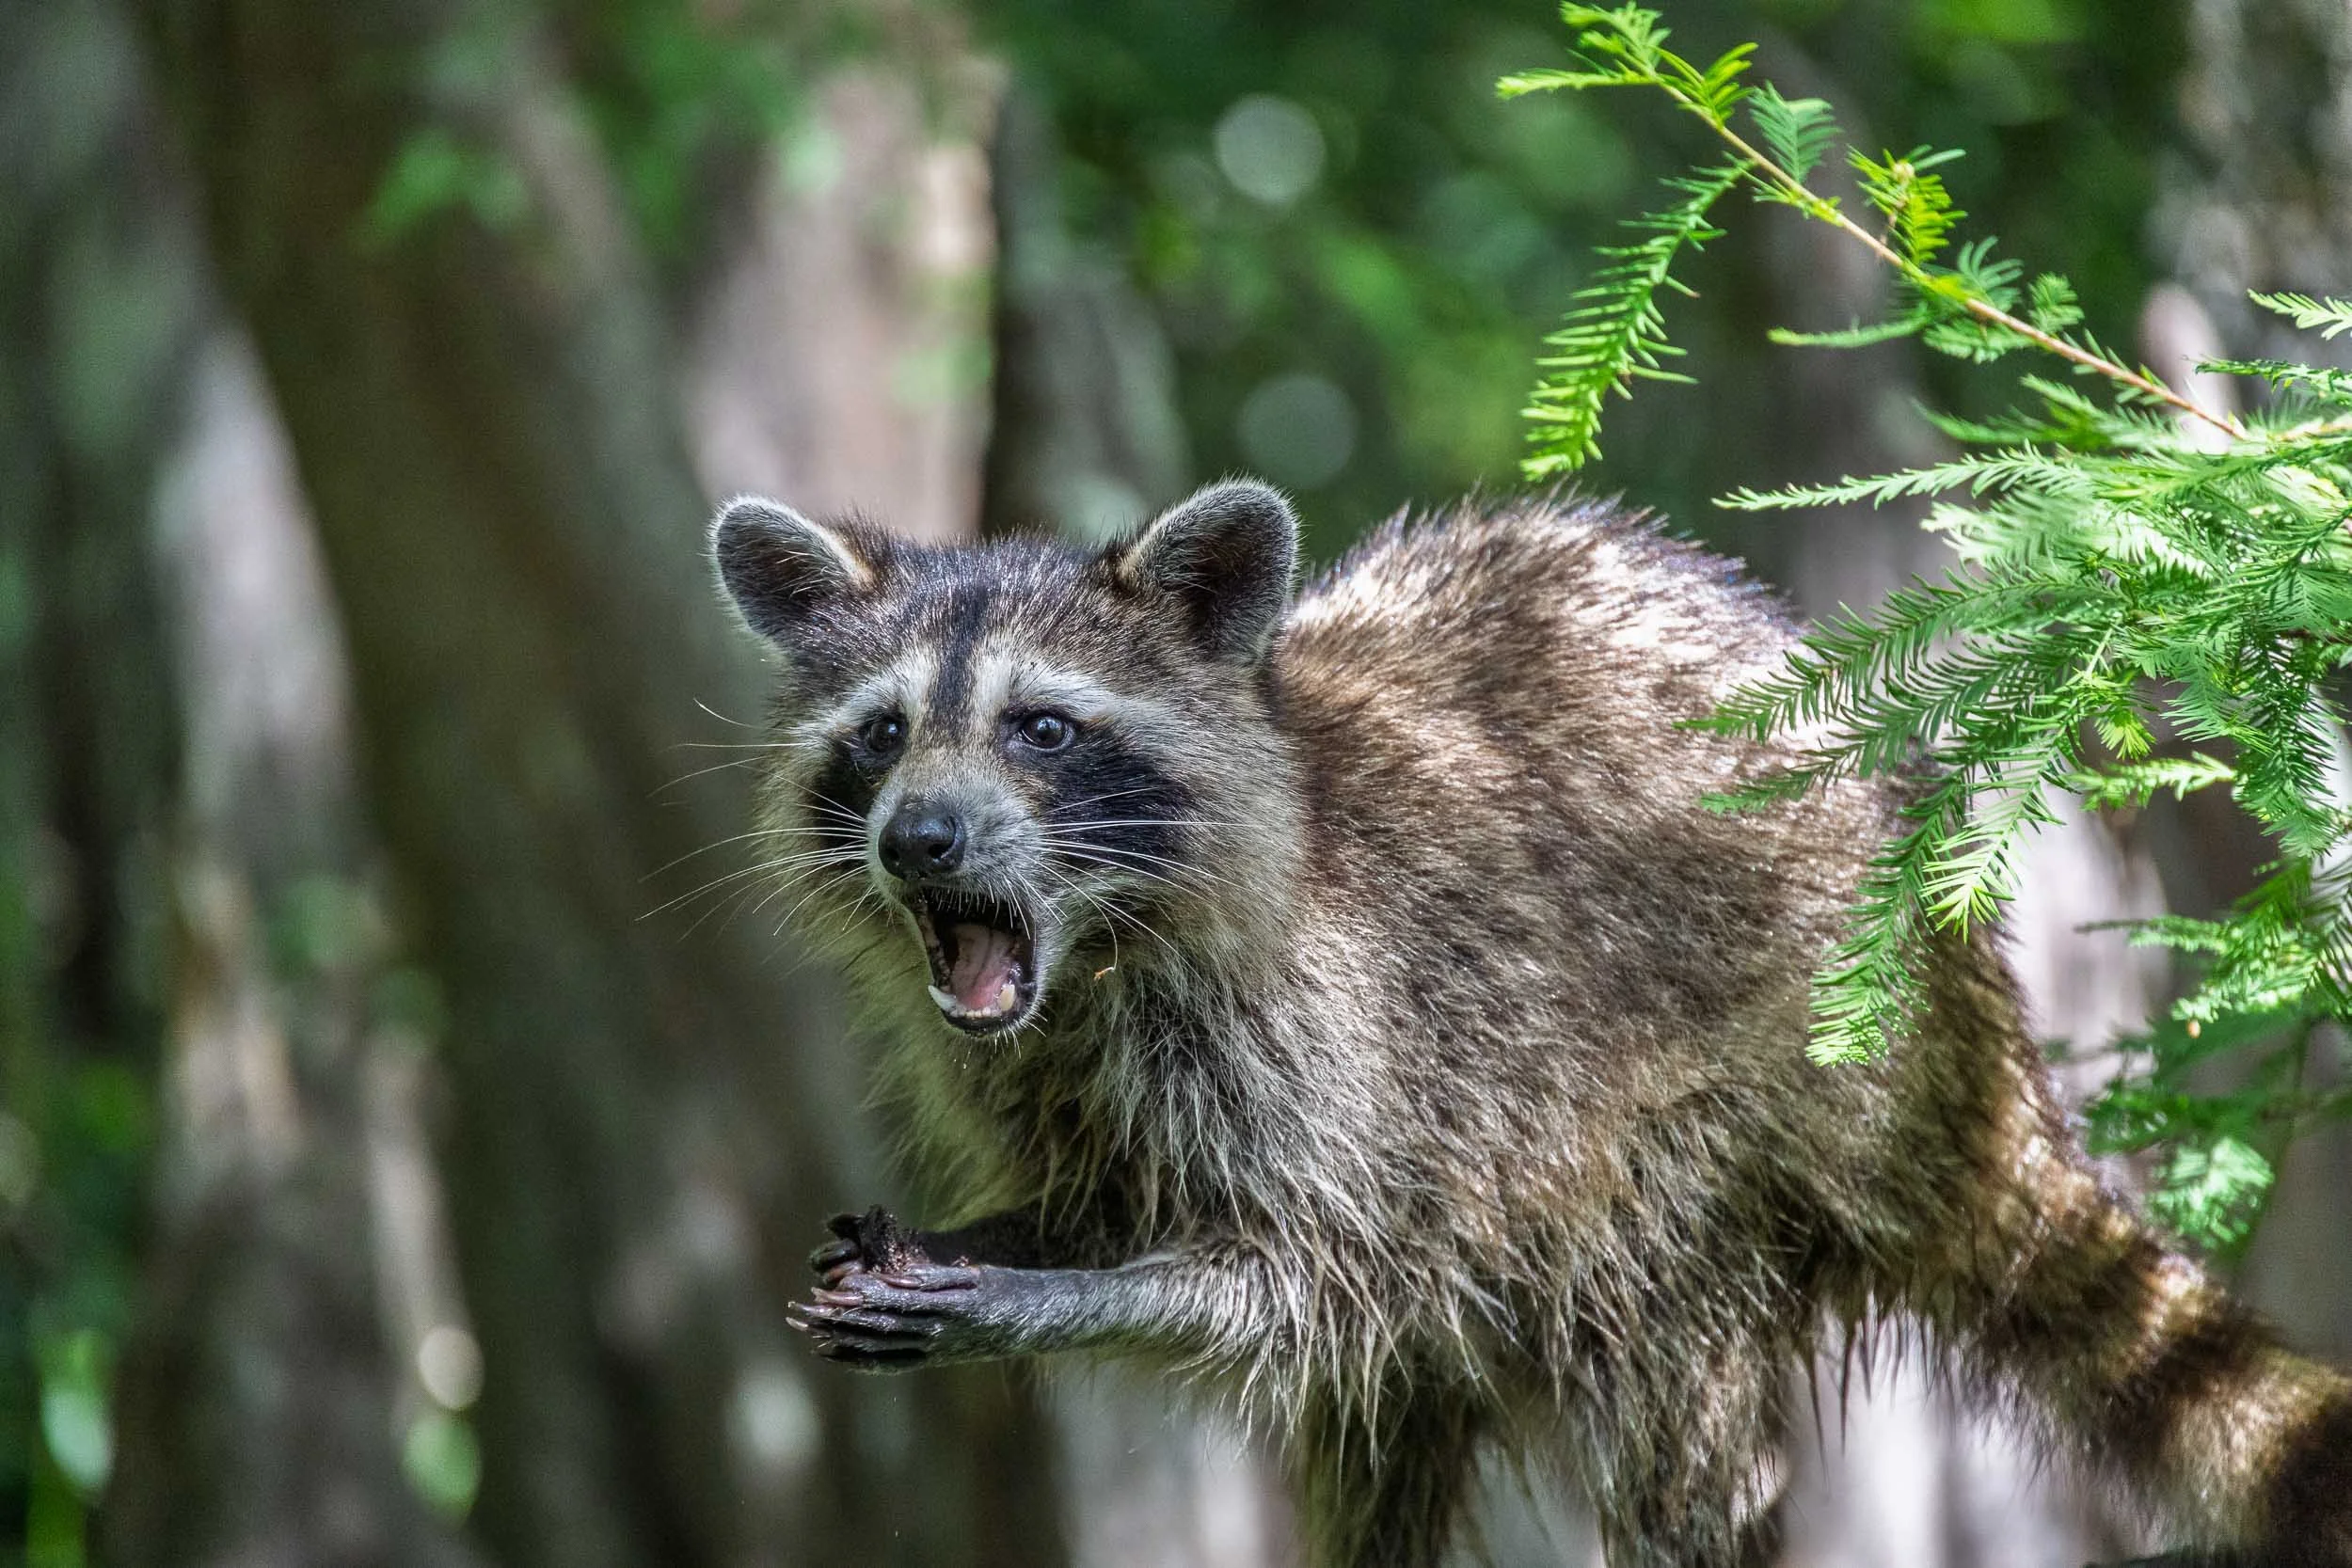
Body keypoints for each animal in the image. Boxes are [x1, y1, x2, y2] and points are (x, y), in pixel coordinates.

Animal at [709, 480, 2352, 1568]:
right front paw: (995, 1236)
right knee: (1391, 1431)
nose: (919, 838)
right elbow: (1121, 1201)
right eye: (881, 733)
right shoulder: (1033, 1065)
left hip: (1740, 1116)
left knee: (1658, 1357)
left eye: (1041, 727)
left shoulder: (1369, 1043)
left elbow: (1300, 1281)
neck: (1093, 959)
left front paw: (1029, 1293)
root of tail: (1977, 1052)